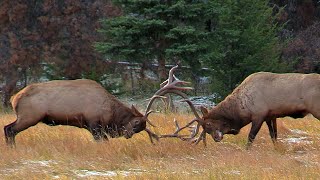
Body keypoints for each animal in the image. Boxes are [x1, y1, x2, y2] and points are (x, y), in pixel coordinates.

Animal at [2, 79, 159, 146]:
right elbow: (100, 141)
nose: (128, 134)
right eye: (136, 122)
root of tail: (14, 98)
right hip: (30, 116)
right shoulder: (94, 123)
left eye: (141, 128)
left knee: (7, 128)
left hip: (25, 117)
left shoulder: (93, 126)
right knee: (10, 129)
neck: (110, 112)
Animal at [160, 70, 320, 148]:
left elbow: (251, 137)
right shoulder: (271, 115)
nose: (216, 138)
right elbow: (274, 135)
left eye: (209, 124)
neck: (241, 108)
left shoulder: (258, 115)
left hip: (316, 108)